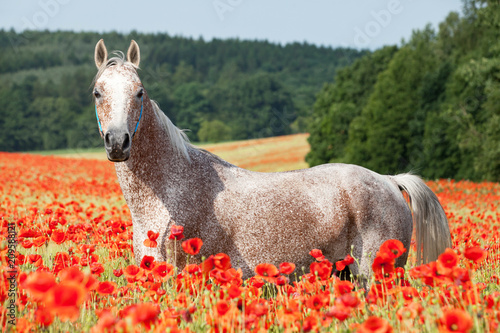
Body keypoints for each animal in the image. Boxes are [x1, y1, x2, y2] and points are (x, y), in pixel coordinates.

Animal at [91, 39, 454, 282]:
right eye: (98, 92)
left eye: (139, 92)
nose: (118, 142)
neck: (169, 190)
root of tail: (390, 181)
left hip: (373, 276)